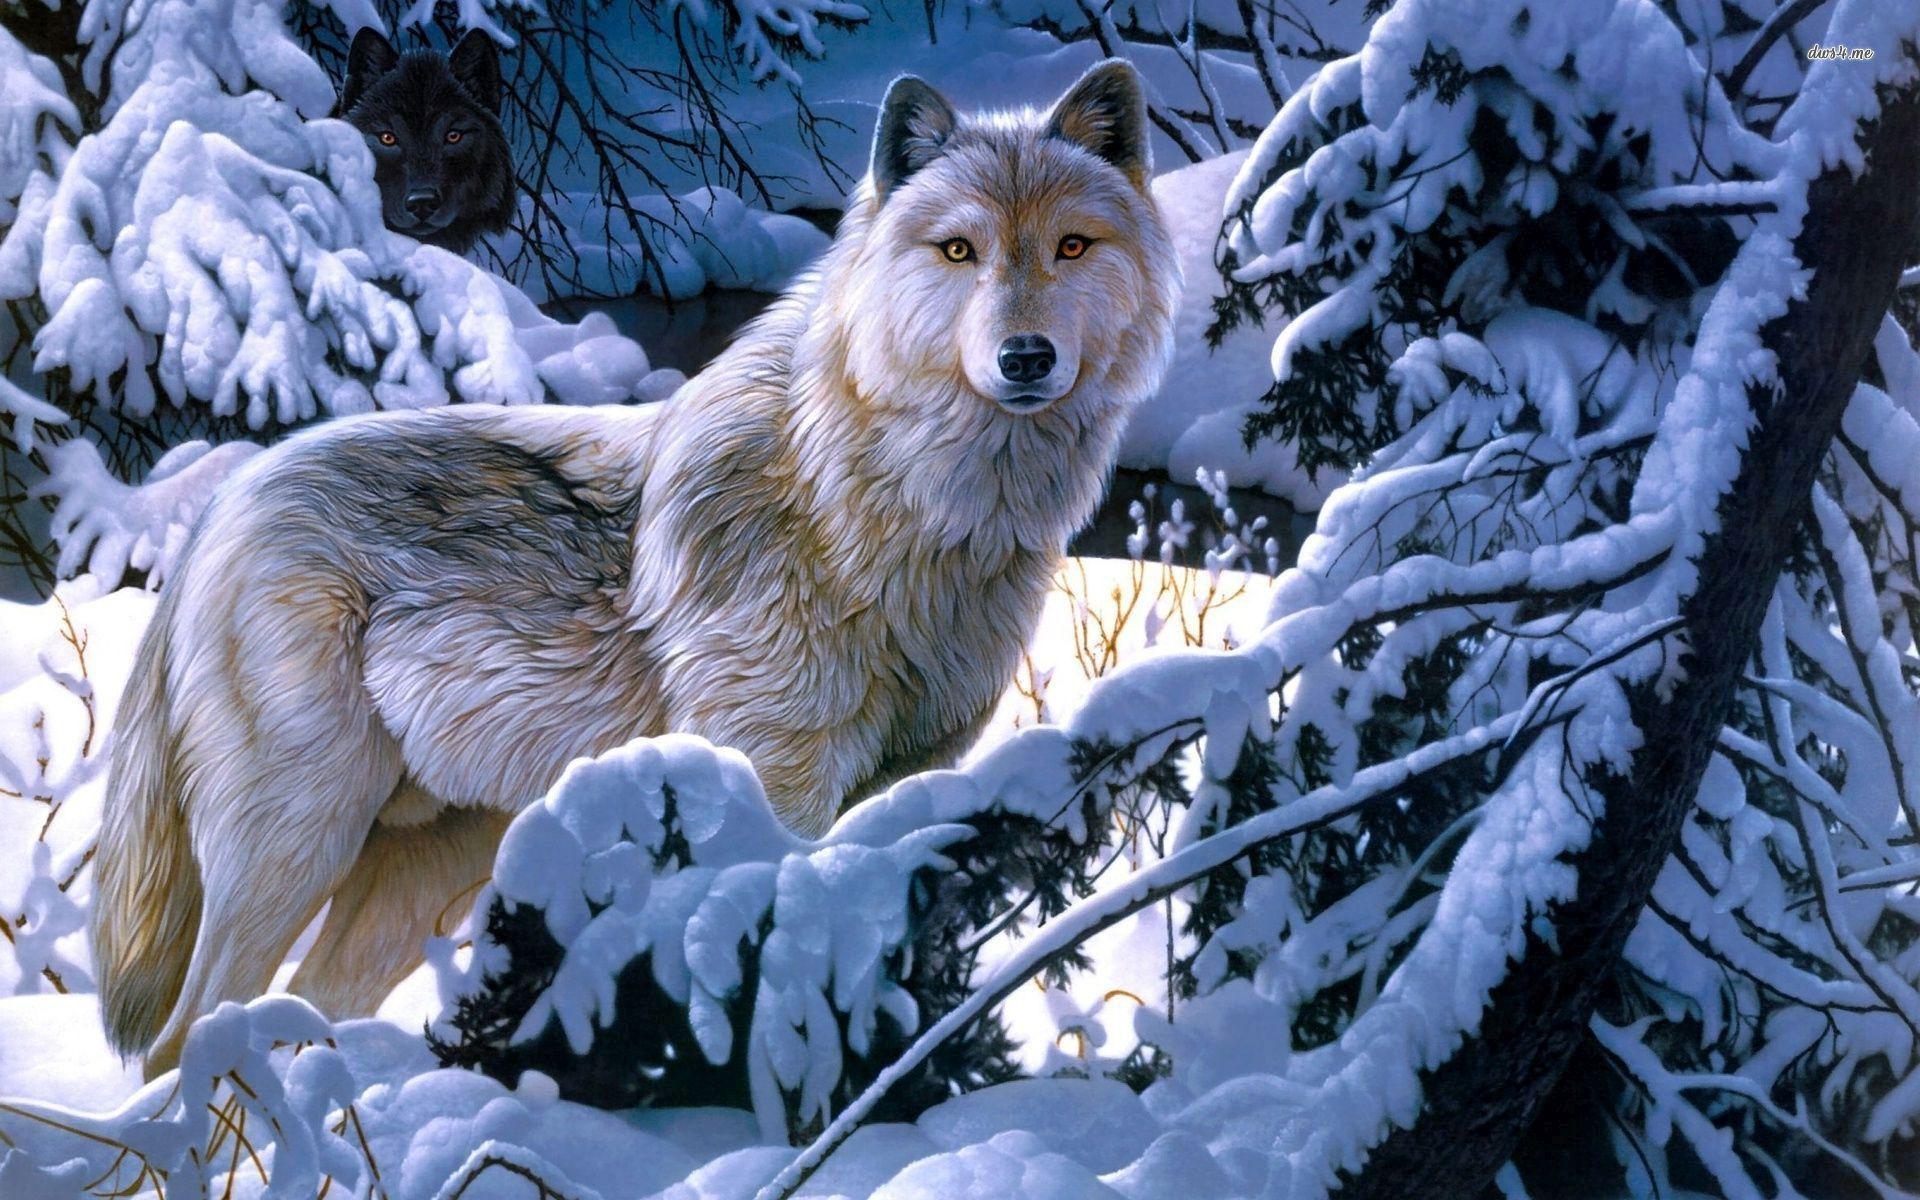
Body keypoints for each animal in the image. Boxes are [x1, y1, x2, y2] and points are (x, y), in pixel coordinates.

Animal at [92, 62, 1180, 1076]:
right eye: (959, 250)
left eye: (1072, 246)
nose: (1026, 357)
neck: (894, 509)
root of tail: (222, 506)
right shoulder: (775, 784)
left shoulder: (905, 785)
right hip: (298, 846)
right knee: (182, 1041)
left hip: (425, 871)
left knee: (300, 1015)